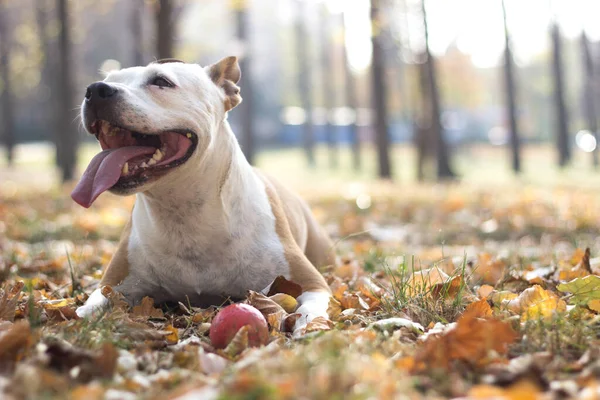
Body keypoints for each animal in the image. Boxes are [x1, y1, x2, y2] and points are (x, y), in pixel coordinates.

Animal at [74, 56, 332, 336]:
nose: (95, 90)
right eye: (108, 80)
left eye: (161, 81)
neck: (183, 210)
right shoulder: (112, 286)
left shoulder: (311, 283)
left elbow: (311, 309)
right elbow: (87, 309)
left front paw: (310, 327)